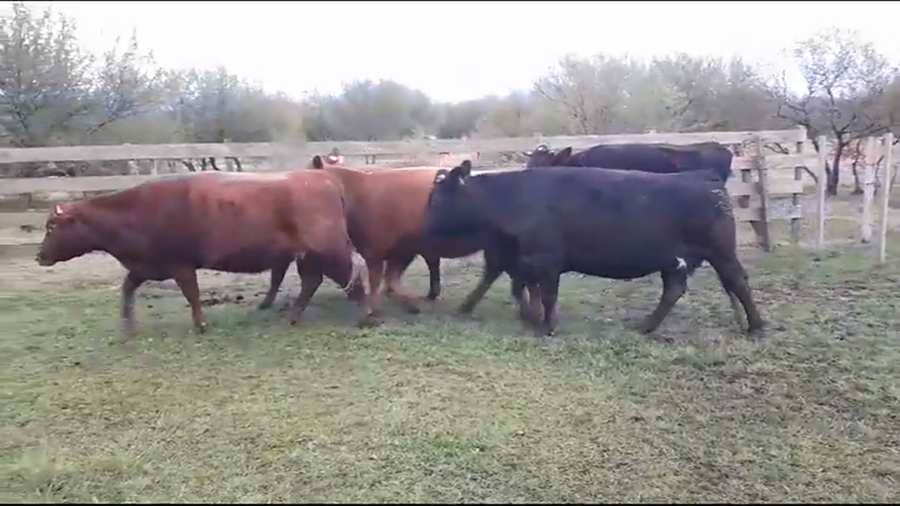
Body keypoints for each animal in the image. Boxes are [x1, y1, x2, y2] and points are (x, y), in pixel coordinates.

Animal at [35, 170, 372, 334]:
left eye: (52, 226)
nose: (39, 256)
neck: (137, 212)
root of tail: (323, 178)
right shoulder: (146, 266)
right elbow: (128, 288)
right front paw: (127, 323)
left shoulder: (181, 265)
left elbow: (192, 294)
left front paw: (201, 324)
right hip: (311, 254)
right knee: (314, 281)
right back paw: (292, 317)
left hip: (327, 248)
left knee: (355, 272)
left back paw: (365, 313)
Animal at [260, 156, 543, 323]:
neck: (356, 193)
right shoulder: (399, 249)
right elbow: (391, 278)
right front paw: (411, 304)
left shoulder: (377, 249)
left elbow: (378, 279)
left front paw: (372, 310)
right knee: (502, 272)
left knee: (505, 272)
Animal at [420, 161, 765, 337]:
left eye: (438, 196)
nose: (423, 225)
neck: (512, 198)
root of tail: (705, 175)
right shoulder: (521, 259)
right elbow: (523, 289)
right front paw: (531, 319)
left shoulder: (545, 260)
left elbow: (546, 294)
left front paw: (547, 327)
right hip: (676, 260)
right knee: (673, 290)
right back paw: (645, 327)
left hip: (721, 252)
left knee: (738, 281)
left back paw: (756, 326)